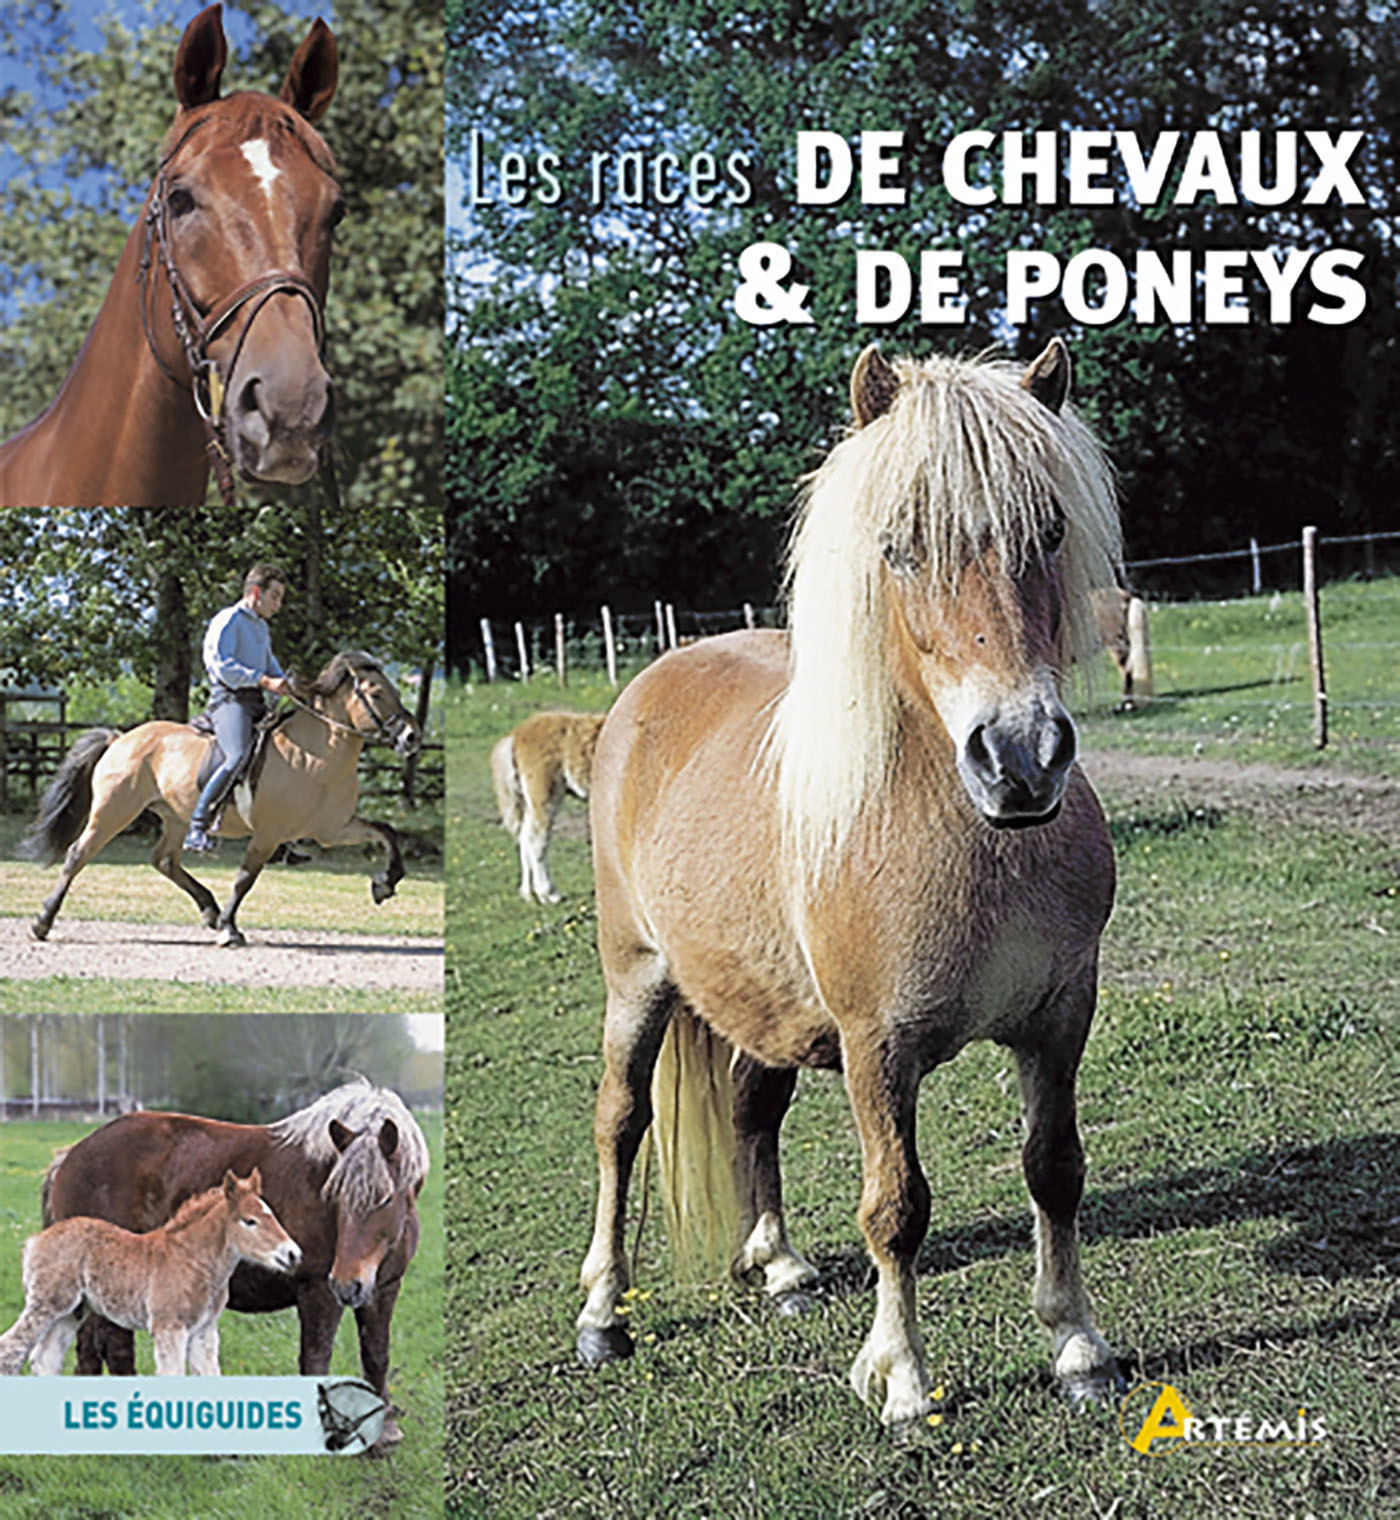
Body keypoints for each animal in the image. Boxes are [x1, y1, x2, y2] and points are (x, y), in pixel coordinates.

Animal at [0, 1169, 300, 1377]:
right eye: (250, 1221)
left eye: (272, 1214)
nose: (293, 1254)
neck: (193, 1260)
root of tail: (35, 1240)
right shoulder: (169, 1327)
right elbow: (173, 1374)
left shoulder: (204, 1330)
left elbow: (210, 1374)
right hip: (48, 1303)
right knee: (11, 1350)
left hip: (73, 1311)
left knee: (45, 1359)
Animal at [20, 650, 419, 948]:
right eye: (376, 693)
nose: (412, 737)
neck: (316, 756)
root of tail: (121, 739)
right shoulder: (268, 834)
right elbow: (245, 878)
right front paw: (230, 928)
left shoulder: (332, 829)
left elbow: (386, 833)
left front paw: (385, 883)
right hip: (113, 811)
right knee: (78, 854)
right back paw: (42, 921)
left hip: (175, 818)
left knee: (164, 861)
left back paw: (208, 909)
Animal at [41, 1080, 429, 1445]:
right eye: (334, 1196)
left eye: (386, 1198)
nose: (347, 1284)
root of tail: (70, 1157)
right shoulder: (318, 1290)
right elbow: (316, 1358)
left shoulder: (383, 1287)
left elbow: (376, 1355)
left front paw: (385, 1434)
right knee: (114, 1346)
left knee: (93, 1347)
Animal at [491, 710, 606, 902]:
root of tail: (515, 735)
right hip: (545, 795)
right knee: (537, 841)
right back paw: (548, 893)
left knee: (525, 837)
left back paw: (529, 893)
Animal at [575, 341, 1128, 1430]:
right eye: (899, 547)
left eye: (1047, 530)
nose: (1019, 758)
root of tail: (647, 689)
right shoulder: (878, 1050)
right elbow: (897, 1205)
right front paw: (903, 1379)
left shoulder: (1059, 1018)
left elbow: (1055, 1169)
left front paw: (1078, 1344)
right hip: (638, 980)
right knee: (620, 1124)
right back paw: (603, 1314)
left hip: (759, 1004)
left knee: (752, 1109)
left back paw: (781, 1263)